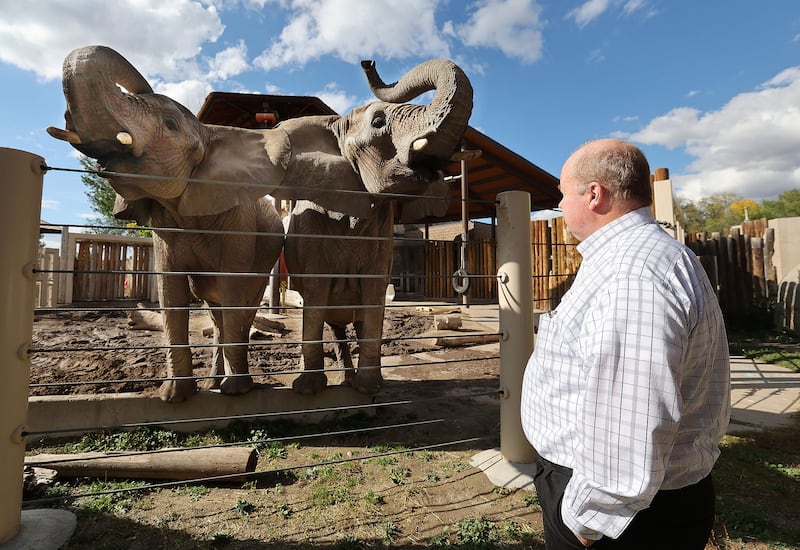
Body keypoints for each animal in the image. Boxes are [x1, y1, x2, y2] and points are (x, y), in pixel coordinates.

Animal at [47, 44, 473, 402]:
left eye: (167, 124)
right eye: (381, 122)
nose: (368, 61)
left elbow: (373, 295)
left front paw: (366, 390)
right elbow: (172, 295)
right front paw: (177, 398)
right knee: (225, 316)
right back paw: (220, 384)